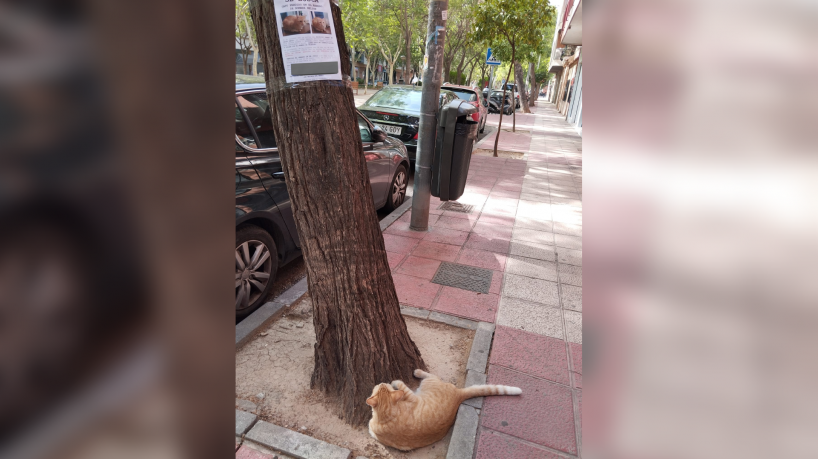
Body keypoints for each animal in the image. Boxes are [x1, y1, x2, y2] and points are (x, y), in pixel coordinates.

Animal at [364, 368, 520, 452]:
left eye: (381, 385)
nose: (381, 381)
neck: (386, 415)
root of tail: (458, 395)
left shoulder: (411, 397)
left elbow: (402, 385)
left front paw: (395, 381)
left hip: (429, 382)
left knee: (431, 375)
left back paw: (418, 371)